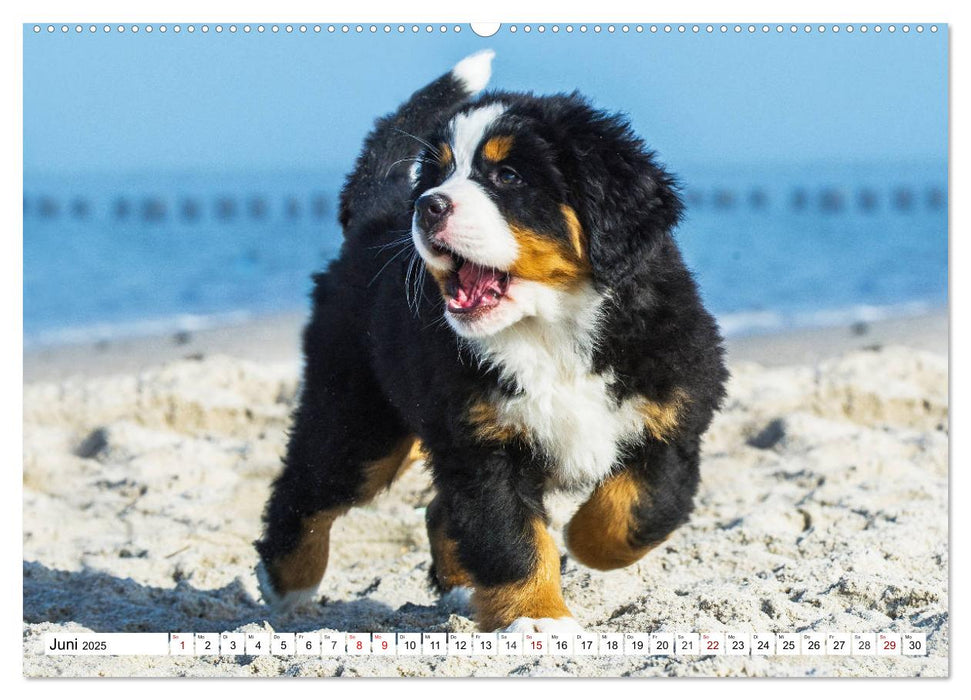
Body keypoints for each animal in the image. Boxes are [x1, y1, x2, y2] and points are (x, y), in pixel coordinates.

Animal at [258, 47, 728, 628]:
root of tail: (373, 219)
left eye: (507, 175)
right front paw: (538, 619)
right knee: (310, 489)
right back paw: (286, 586)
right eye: (436, 175)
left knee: (437, 507)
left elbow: (635, 512)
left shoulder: (673, 418)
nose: (427, 205)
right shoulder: (481, 445)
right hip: (358, 415)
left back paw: (461, 590)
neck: (551, 329)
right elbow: (513, 539)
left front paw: (577, 543)